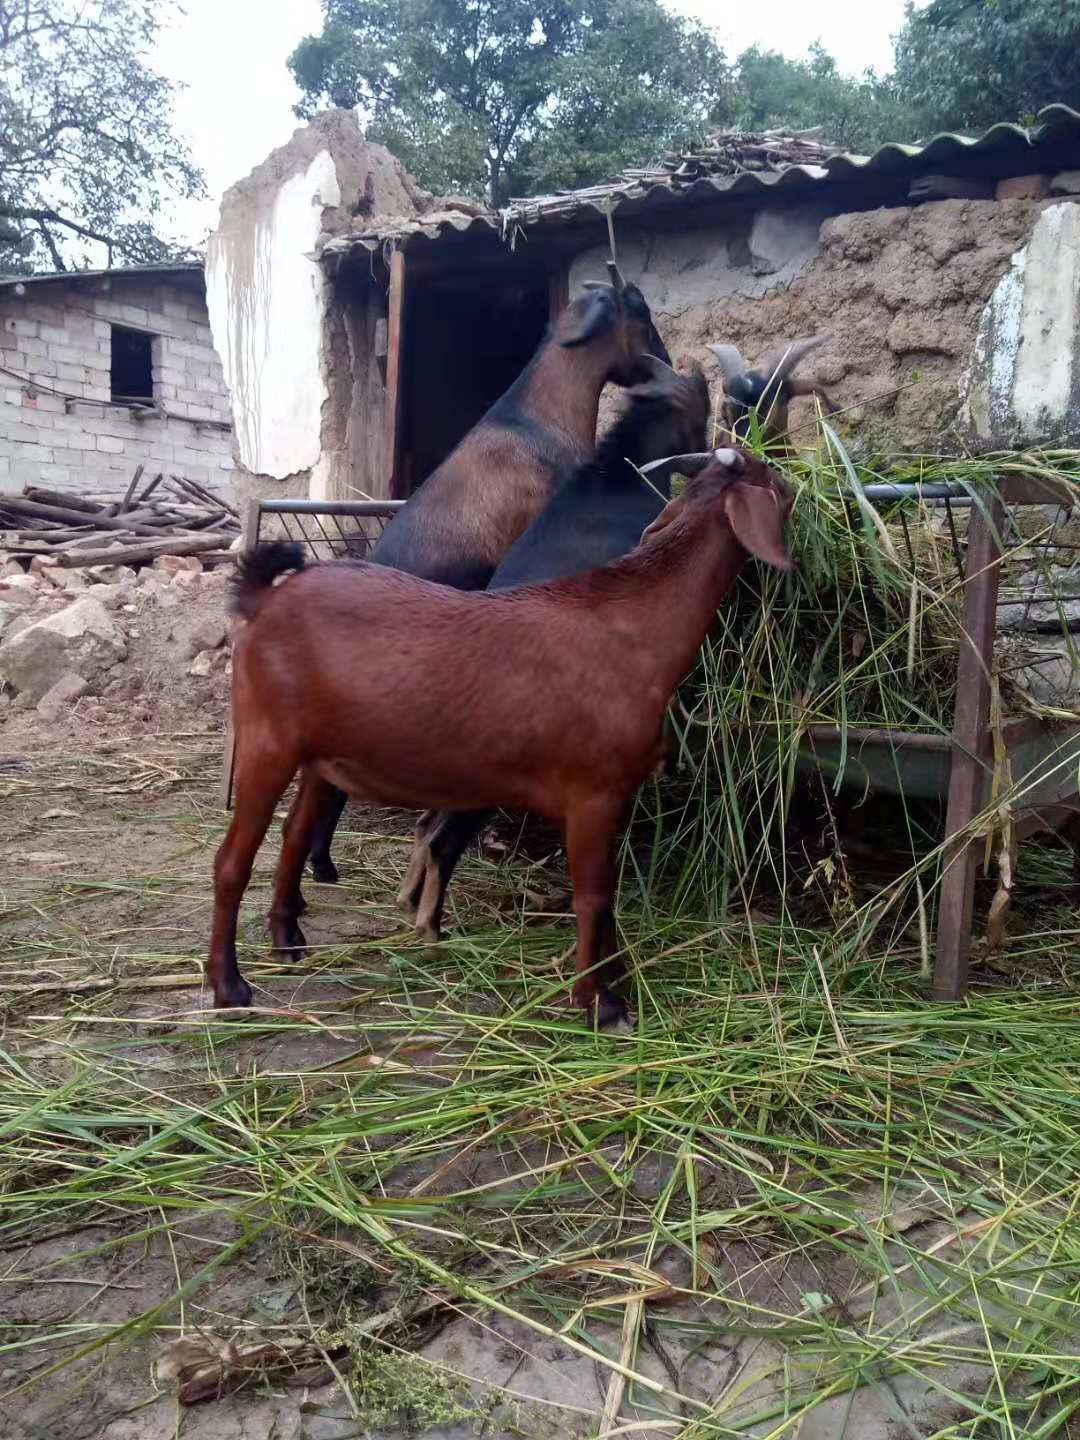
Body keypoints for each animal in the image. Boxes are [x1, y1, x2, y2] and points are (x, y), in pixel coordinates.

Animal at [211, 446, 789, 1025]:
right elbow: (593, 896)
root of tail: (264, 601)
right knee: (232, 860)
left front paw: (616, 980)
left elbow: (606, 895)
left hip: (318, 754)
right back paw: (229, 986)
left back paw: (287, 938)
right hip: (267, 739)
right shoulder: (592, 794)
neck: (638, 633)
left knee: (294, 834)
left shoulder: (616, 798)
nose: (795, 486)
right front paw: (600, 1003)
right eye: (778, 487)